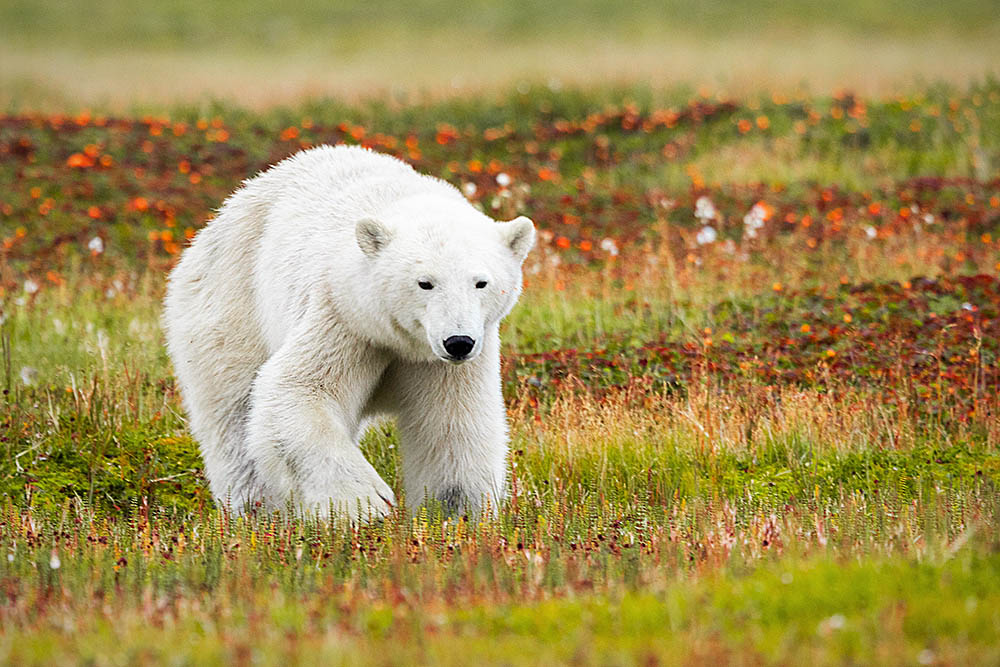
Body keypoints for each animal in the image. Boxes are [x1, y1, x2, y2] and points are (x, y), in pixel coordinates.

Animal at [164, 145, 536, 520]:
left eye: (481, 282)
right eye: (425, 283)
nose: (458, 342)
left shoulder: (444, 361)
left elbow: (452, 422)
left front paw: (456, 512)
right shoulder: (343, 318)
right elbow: (299, 389)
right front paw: (368, 503)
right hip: (230, 306)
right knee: (234, 415)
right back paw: (257, 508)